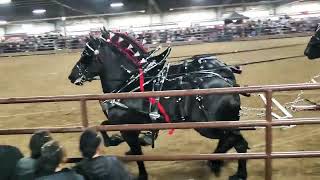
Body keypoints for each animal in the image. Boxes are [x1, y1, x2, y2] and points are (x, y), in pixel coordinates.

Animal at [68, 28, 250, 180]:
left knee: (236, 142)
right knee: (233, 141)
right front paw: (117, 140)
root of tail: (228, 83)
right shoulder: (125, 122)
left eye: (85, 56)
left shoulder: (127, 127)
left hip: (212, 127)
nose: (71, 76)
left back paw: (232, 170)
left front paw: (142, 174)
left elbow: (137, 153)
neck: (130, 83)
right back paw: (220, 164)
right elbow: (102, 126)